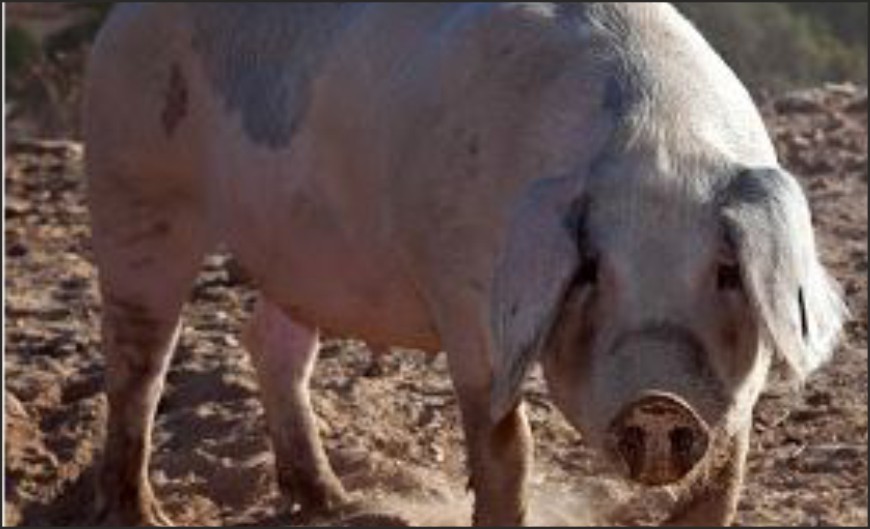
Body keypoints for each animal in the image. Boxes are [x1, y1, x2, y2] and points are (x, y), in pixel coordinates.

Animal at [84, 3, 847, 526]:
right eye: (592, 271)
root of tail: (120, 19)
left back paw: (332, 500)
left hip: (297, 249)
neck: (655, 147)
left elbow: (726, 470)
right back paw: (145, 515)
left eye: (725, 272)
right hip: (134, 181)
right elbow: (507, 442)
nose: (660, 402)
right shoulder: (465, 295)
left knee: (270, 343)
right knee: (138, 364)